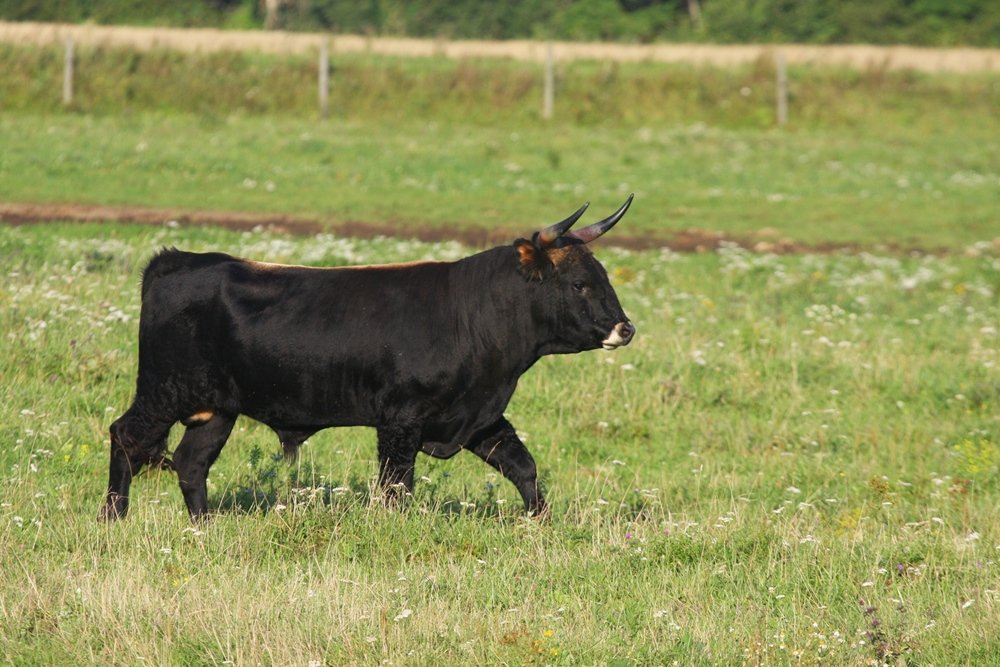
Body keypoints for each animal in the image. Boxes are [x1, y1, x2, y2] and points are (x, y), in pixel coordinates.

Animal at [99, 196, 632, 520]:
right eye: (580, 284)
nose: (625, 328)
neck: (472, 313)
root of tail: (179, 260)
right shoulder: (400, 421)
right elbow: (396, 488)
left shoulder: (479, 417)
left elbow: (523, 467)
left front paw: (540, 522)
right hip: (164, 391)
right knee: (126, 436)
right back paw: (114, 518)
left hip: (215, 410)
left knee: (191, 463)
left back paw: (203, 527)